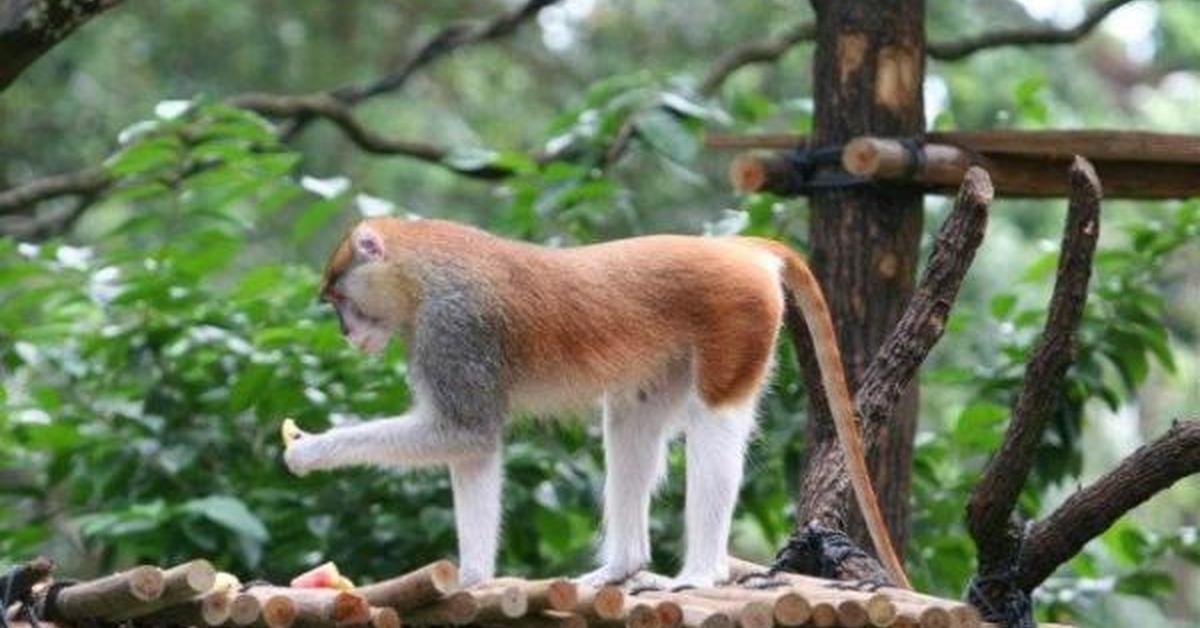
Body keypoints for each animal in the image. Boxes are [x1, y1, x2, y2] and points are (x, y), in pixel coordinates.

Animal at [283, 216, 907, 590]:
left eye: (338, 298)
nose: (345, 332)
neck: (421, 268)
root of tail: (738, 249)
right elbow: (474, 450)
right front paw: (473, 580)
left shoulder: (454, 329)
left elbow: (466, 431)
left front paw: (308, 449)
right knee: (631, 421)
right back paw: (620, 567)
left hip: (739, 320)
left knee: (716, 424)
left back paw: (700, 574)